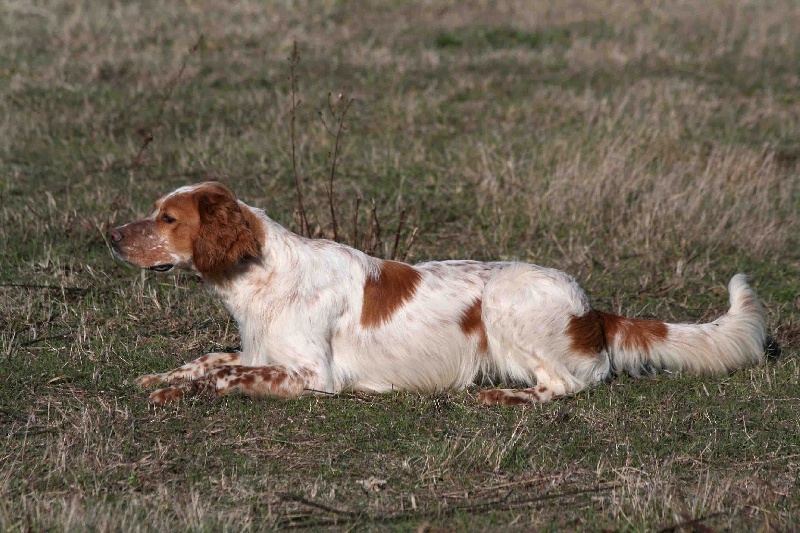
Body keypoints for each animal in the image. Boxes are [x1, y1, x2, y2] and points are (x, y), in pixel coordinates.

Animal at [111, 181, 768, 406]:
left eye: (167, 219)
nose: (112, 236)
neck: (259, 276)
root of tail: (593, 311)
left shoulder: (312, 376)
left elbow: (223, 373)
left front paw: (178, 391)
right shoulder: (259, 352)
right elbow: (207, 359)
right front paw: (161, 378)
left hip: (506, 303)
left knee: (567, 385)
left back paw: (505, 398)